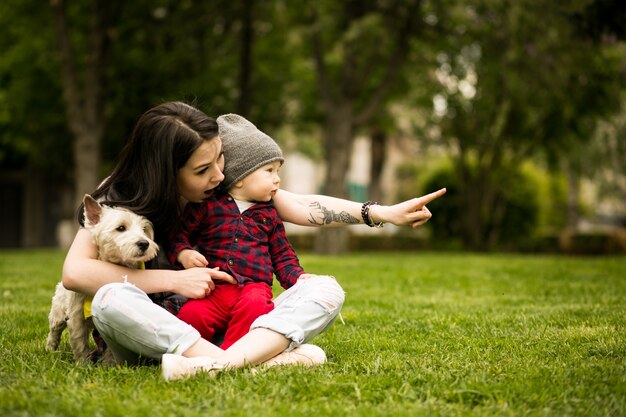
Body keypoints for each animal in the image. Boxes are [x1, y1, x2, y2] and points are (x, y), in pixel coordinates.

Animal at [46, 194, 157, 360]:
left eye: (144, 229)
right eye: (121, 228)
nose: (144, 243)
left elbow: (110, 347)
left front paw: (108, 362)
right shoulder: (76, 317)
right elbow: (80, 342)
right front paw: (83, 363)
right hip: (59, 311)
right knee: (54, 330)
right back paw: (50, 350)